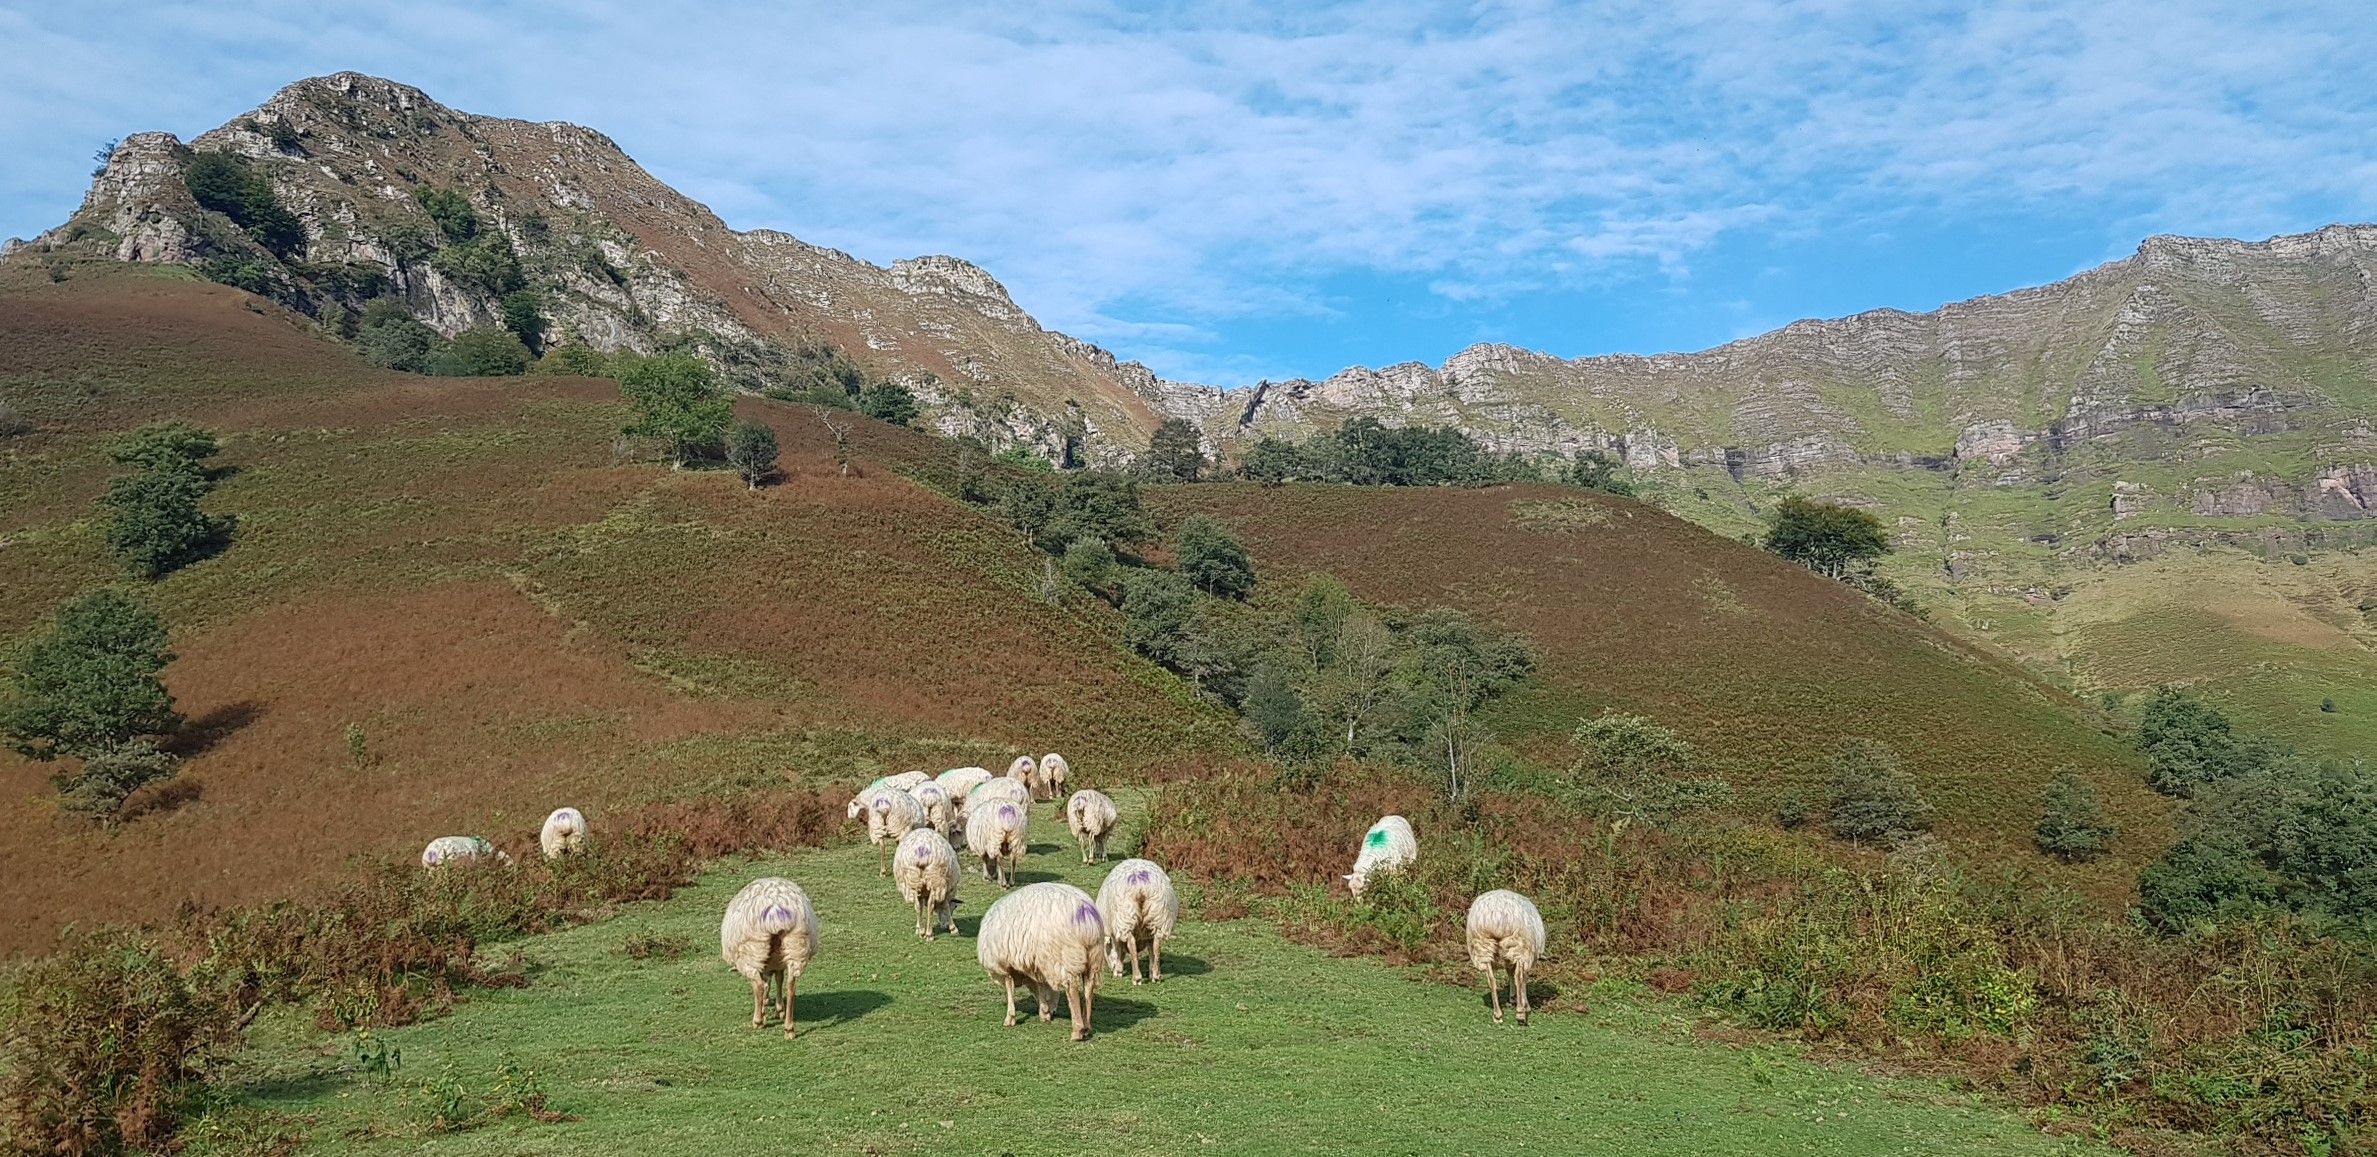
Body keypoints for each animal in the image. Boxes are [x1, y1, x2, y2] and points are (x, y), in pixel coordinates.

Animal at [713, 879, 817, 1040]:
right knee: (791, 986)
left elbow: (764, 984)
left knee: (759, 985)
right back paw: (789, 1028)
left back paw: (758, 1021)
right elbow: (778, 979)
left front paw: (764, 1010)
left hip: (752, 950)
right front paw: (779, 1009)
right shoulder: (778, 963)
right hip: (796, 945)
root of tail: (776, 910)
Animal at [974, 883, 1102, 1045]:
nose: (1053, 1011)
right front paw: (1044, 1012)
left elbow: (1010, 988)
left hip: (1063, 957)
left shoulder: (1004, 965)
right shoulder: (1038, 964)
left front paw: (1010, 1018)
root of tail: (1085, 912)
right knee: (1089, 988)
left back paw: (1077, 1031)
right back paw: (1087, 1027)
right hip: (1093, 957)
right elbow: (1041, 987)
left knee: (1071, 988)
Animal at [1093, 860, 1178, 988]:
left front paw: (1118, 971)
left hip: (1125, 917)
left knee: (1131, 944)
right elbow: (1151, 949)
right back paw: (1156, 976)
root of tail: (1142, 886)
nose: (1111, 968)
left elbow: (1119, 949)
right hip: (1158, 915)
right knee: (1157, 944)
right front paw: (1151, 971)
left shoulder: (1114, 930)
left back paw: (1136, 978)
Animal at [1454, 893, 1549, 1026]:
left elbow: (1510, 974)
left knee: (1491, 980)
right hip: (1519, 946)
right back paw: (1520, 1014)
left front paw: (1513, 998)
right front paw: (1525, 1005)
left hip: (1483, 947)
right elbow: (1523, 978)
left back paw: (1497, 1015)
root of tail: (1496, 918)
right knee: (1519, 978)